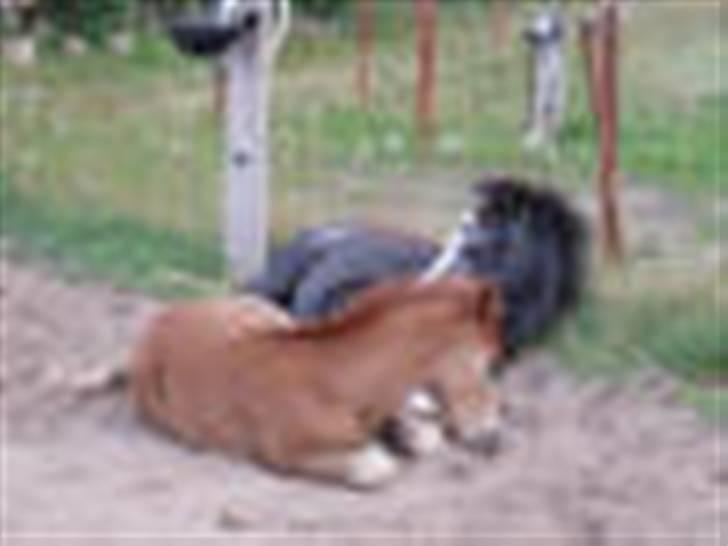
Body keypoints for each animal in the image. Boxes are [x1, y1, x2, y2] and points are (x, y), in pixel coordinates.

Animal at [129, 277, 504, 489]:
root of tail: (161, 319)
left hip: (273, 315)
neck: (332, 380)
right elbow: (377, 467)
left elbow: (424, 438)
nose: (493, 439)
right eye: (488, 362)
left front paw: (408, 430)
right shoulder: (290, 454)